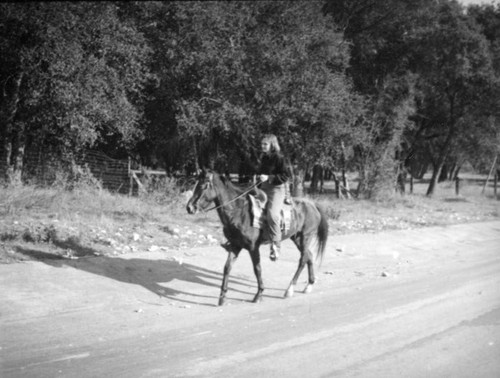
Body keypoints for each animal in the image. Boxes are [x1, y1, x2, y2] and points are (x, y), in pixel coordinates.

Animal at [186, 170, 330, 306]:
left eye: (203, 185)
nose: (189, 207)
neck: (239, 212)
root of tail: (312, 204)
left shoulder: (253, 247)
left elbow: (257, 269)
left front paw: (259, 294)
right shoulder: (235, 246)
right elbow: (227, 268)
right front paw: (222, 297)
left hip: (305, 236)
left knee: (303, 259)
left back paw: (289, 289)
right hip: (297, 238)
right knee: (309, 256)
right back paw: (309, 285)